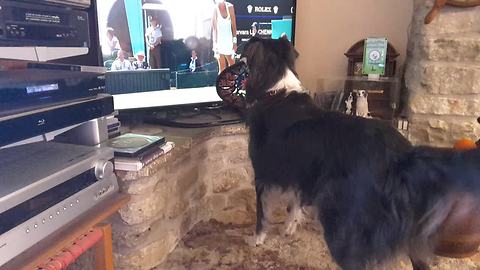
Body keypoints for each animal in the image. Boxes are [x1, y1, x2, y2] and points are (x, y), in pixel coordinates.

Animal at [242, 36, 480, 270]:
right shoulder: (297, 173)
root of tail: (401, 158)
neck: (276, 90)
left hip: (342, 223)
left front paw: (256, 240)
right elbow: (294, 205)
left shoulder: (263, 173)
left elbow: (262, 213)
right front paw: (289, 229)